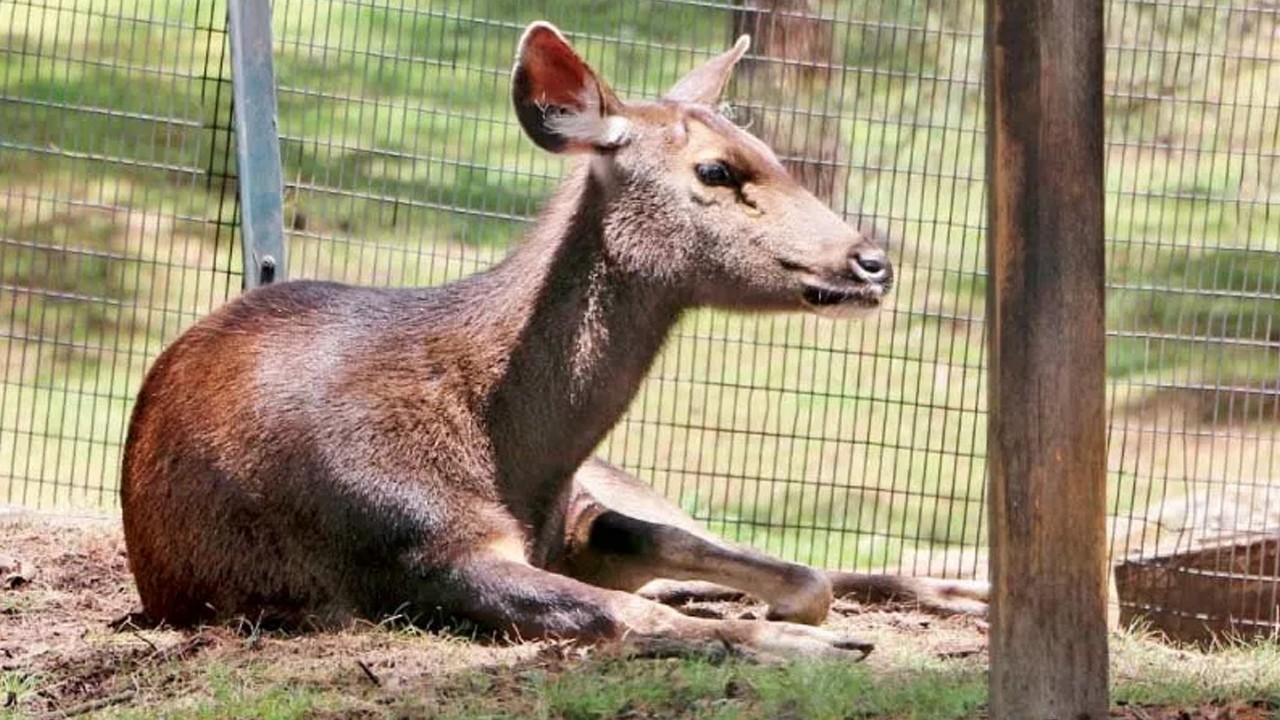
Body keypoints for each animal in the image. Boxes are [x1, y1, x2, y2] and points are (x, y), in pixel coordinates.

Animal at [120, 21, 987, 661]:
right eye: (716, 170)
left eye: (776, 156)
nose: (872, 261)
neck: (517, 455)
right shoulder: (414, 548)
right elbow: (639, 617)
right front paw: (818, 646)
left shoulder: (578, 513)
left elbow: (799, 574)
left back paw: (972, 585)